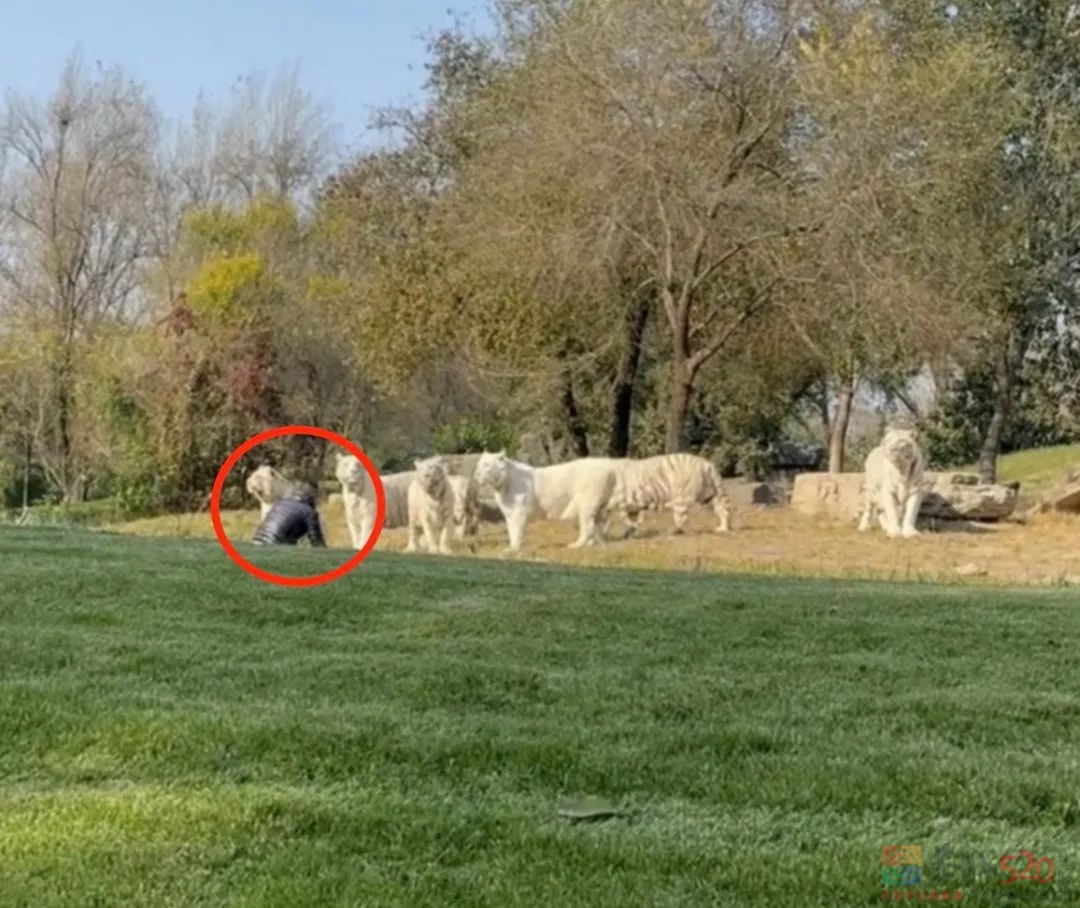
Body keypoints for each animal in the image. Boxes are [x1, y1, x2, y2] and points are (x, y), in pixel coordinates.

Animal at [473, 449, 617, 548]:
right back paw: (593, 544)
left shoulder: (519, 511)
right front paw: (512, 546)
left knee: (587, 525)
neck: (502, 485)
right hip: (599, 504)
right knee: (597, 523)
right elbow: (510, 529)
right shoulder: (509, 511)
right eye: (479, 464)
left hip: (587, 501)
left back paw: (575, 545)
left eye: (487, 464)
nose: (477, 474)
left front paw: (514, 548)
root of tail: (611, 470)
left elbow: (516, 528)